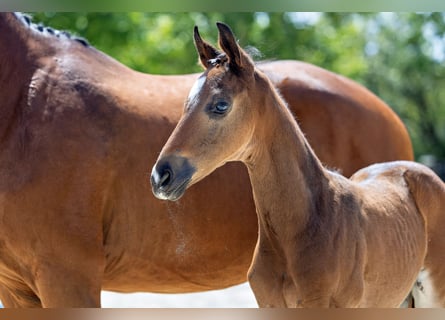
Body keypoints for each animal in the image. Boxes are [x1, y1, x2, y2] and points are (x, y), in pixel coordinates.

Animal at [0, 13, 412, 308]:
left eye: (220, 106)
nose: (160, 176)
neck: (24, 103)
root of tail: (389, 114)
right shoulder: (18, 289)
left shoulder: (68, 275)